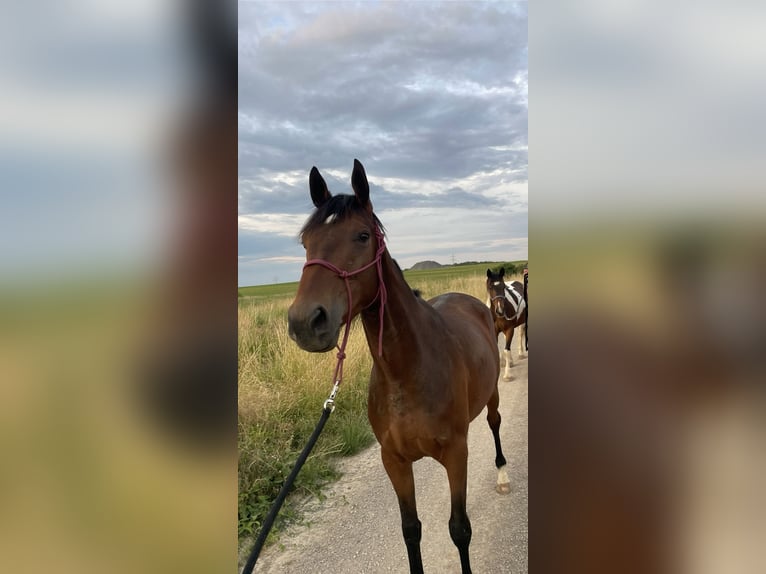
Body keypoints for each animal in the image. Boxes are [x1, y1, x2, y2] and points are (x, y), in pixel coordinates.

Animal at [288, 160, 510, 574]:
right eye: (305, 241)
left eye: (362, 236)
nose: (304, 322)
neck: (406, 371)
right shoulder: (394, 461)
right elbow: (411, 531)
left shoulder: (456, 454)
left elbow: (460, 529)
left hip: (492, 396)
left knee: (494, 424)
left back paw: (503, 474)